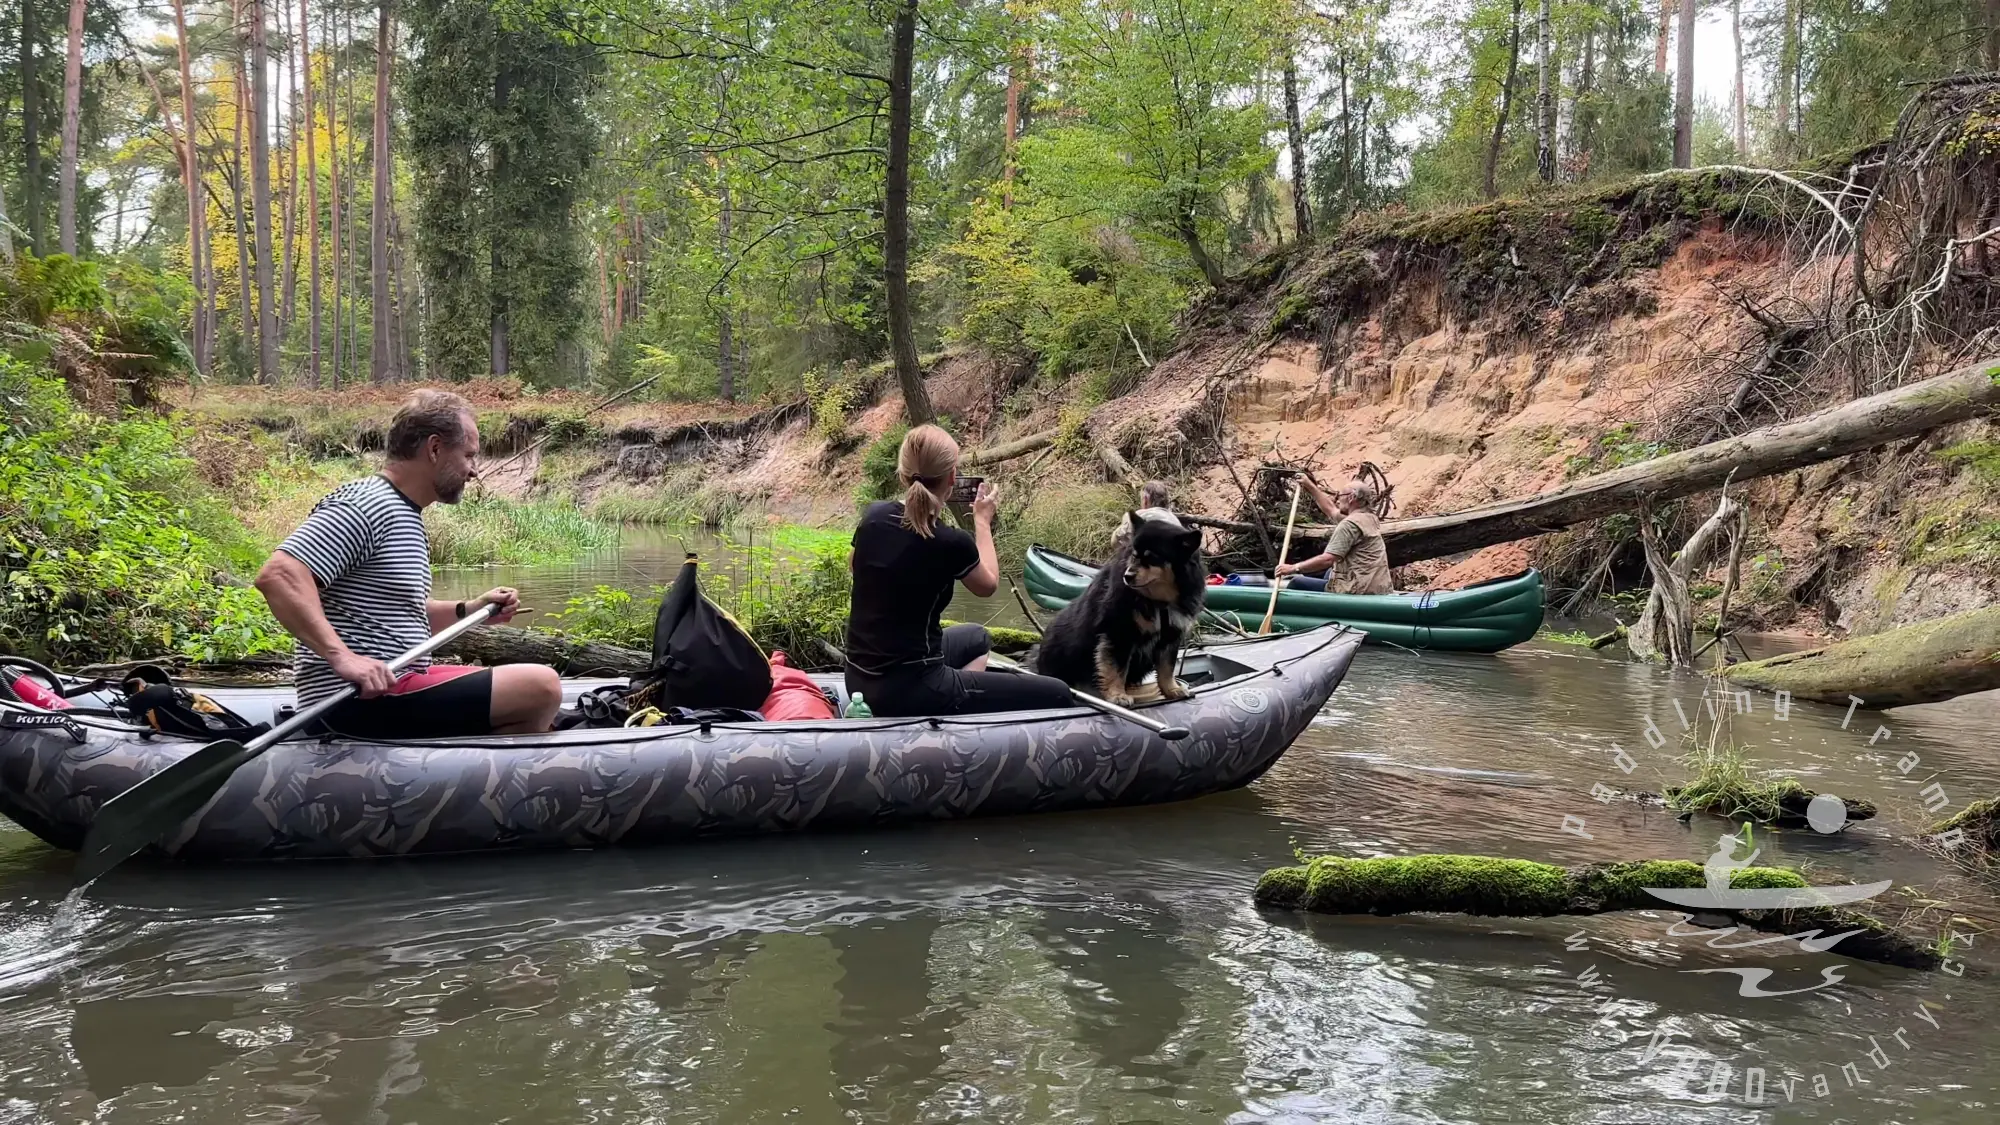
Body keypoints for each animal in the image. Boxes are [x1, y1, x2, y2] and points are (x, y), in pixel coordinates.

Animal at [1032, 516, 1200, 700]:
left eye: (1152, 557)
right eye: (1134, 555)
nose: (1127, 576)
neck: (1159, 601)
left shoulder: (1170, 636)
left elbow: (1167, 668)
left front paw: (1172, 689)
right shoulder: (1119, 633)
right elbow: (1116, 668)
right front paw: (1118, 695)